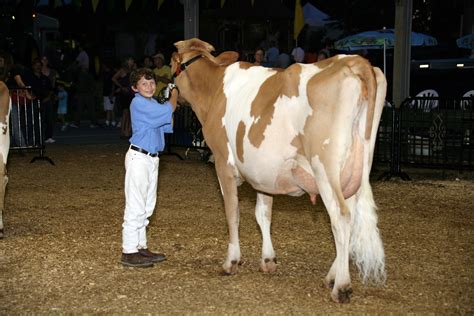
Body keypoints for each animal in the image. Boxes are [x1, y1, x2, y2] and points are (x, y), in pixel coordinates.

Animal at [170, 39, 386, 304]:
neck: (214, 90)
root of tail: (354, 61)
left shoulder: (223, 163)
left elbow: (233, 213)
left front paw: (231, 261)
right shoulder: (264, 172)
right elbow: (263, 214)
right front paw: (268, 260)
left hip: (325, 168)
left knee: (341, 217)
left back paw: (342, 286)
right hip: (357, 168)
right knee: (352, 215)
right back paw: (332, 276)